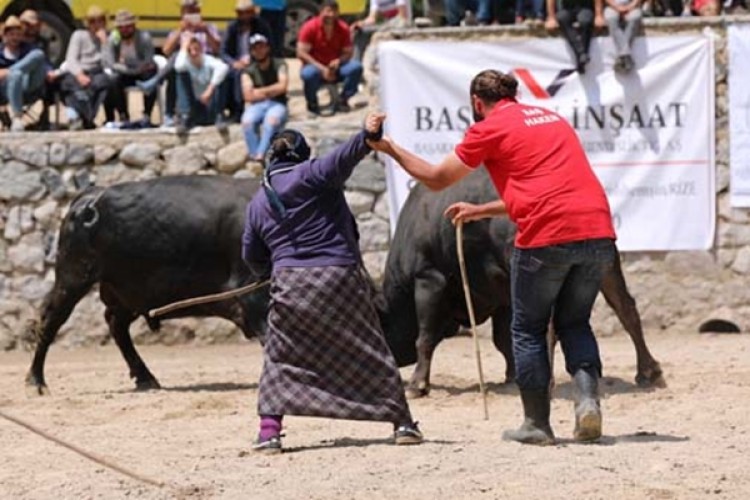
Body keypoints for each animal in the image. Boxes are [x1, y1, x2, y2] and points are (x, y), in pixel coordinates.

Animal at [25, 172, 664, 394]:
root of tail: (85, 199)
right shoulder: (444, 282)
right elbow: (483, 337)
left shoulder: (449, 282)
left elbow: (469, 335)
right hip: (79, 276)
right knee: (57, 318)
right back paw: (39, 379)